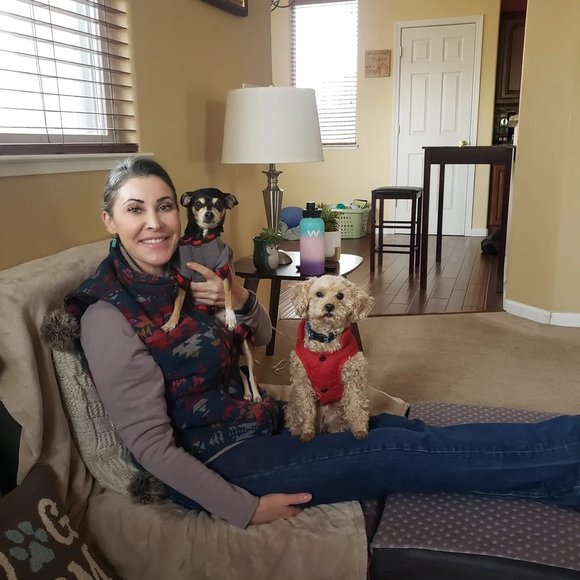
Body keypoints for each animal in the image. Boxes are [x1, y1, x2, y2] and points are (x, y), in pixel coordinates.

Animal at [161, 187, 261, 403]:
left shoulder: (224, 271)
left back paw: (256, 394)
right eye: (198, 203)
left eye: (219, 204)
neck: (201, 239)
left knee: (250, 372)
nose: (208, 214)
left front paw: (230, 315)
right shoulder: (184, 276)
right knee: (239, 373)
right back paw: (247, 393)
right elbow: (177, 303)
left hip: (245, 345)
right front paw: (171, 322)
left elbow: (228, 295)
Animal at [285, 275, 374, 442]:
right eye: (319, 294)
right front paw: (307, 432)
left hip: (338, 419)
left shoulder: (353, 377)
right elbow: (306, 408)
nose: (329, 306)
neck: (324, 342)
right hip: (293, 411)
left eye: (340, 296)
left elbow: (355, 404)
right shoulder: (302, 381)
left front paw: (359, 429)